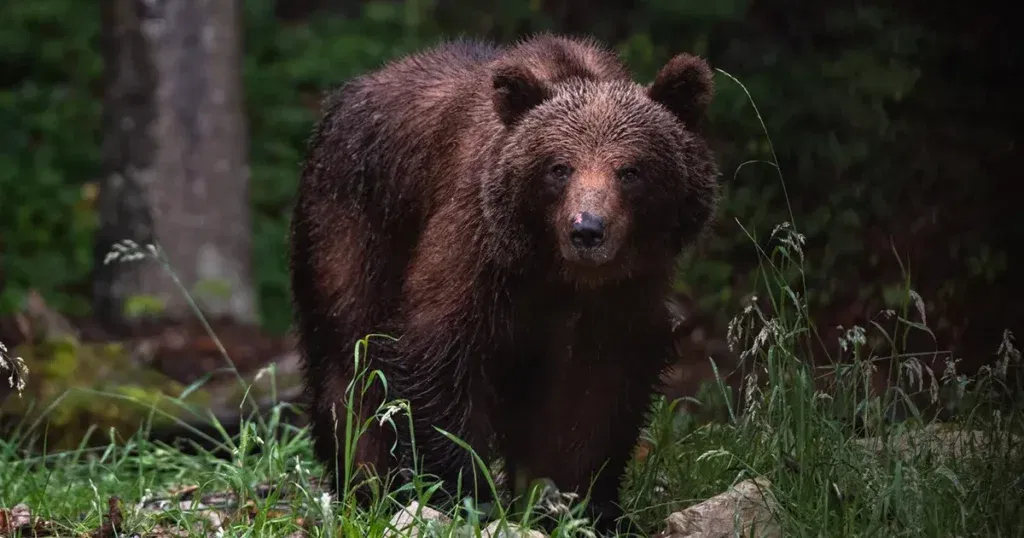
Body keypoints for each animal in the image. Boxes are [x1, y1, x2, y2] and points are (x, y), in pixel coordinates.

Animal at [288, 32, 720, 532]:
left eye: (630, 170)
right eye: (559, 167)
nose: (587, 229)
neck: (553, 267)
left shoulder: (626, 288)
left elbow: (602, 384)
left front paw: (585, 503)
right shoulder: (476, 249)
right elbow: (439, 355)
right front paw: (465, 494)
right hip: (352, 228)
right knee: (350, 365)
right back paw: (367, 486)